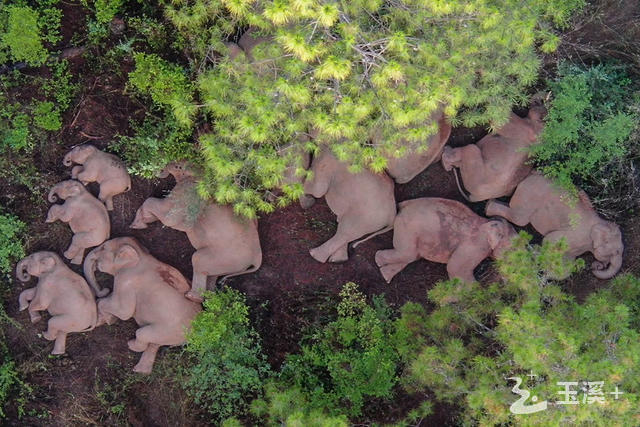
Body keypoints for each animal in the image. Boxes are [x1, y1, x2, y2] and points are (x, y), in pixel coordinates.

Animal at [83, 237, 200, 374]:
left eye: (103, 247)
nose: (104, 289)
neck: (141, 255)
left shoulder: (125, 280)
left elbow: (124, 311)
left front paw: (109, 318)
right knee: (155, 343)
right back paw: (141, 370)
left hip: (170, 330)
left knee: (142, 334)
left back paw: (131, 345)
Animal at [130, 162, 262, 302]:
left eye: (176, 165)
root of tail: (257, 259)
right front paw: (139, 223)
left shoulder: (186, 195)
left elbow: (167, 217)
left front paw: (137, 225)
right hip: (230, 263)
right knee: (212, 274)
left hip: (227, 256)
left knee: (198, 259)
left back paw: (192, 297)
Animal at [376, 197, 516, 284]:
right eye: (513, 248)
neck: (488, 222)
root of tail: (402, 207)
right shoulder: (476, 246)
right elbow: (454, 267)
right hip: (407, 228)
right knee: (407, 253)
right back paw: (378, 261)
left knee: (412, 256)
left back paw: (385, 275)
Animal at [488, 172, 624, 280]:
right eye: (616, 252)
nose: (596, 266)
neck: (601, 222)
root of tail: (531, 176)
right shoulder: (577, 236)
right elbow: (550, 239)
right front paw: (537, 253)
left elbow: (568, 261)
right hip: (527, 199)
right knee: (519, 219)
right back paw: (489, 208)